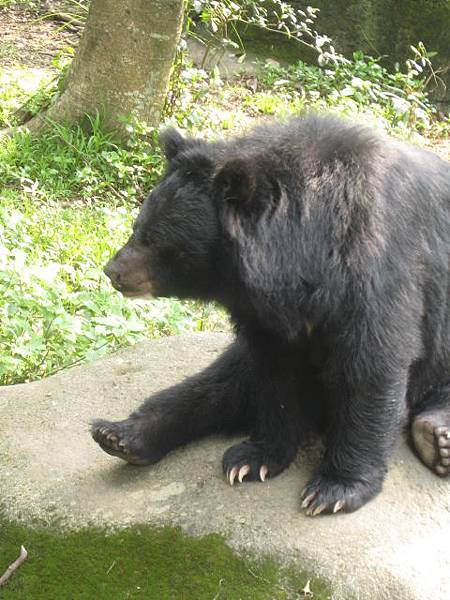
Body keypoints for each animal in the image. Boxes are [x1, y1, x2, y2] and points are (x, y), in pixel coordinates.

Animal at [91, 116, 450, 516]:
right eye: (137, 227)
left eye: (155, 240)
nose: (112, 271)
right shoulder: (267, 319)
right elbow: (277, 376)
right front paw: (253, 459)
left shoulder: (377, 267)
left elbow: (372, 367)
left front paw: (333, 490)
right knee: (219, 385)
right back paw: (119, 435)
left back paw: (436, 438)